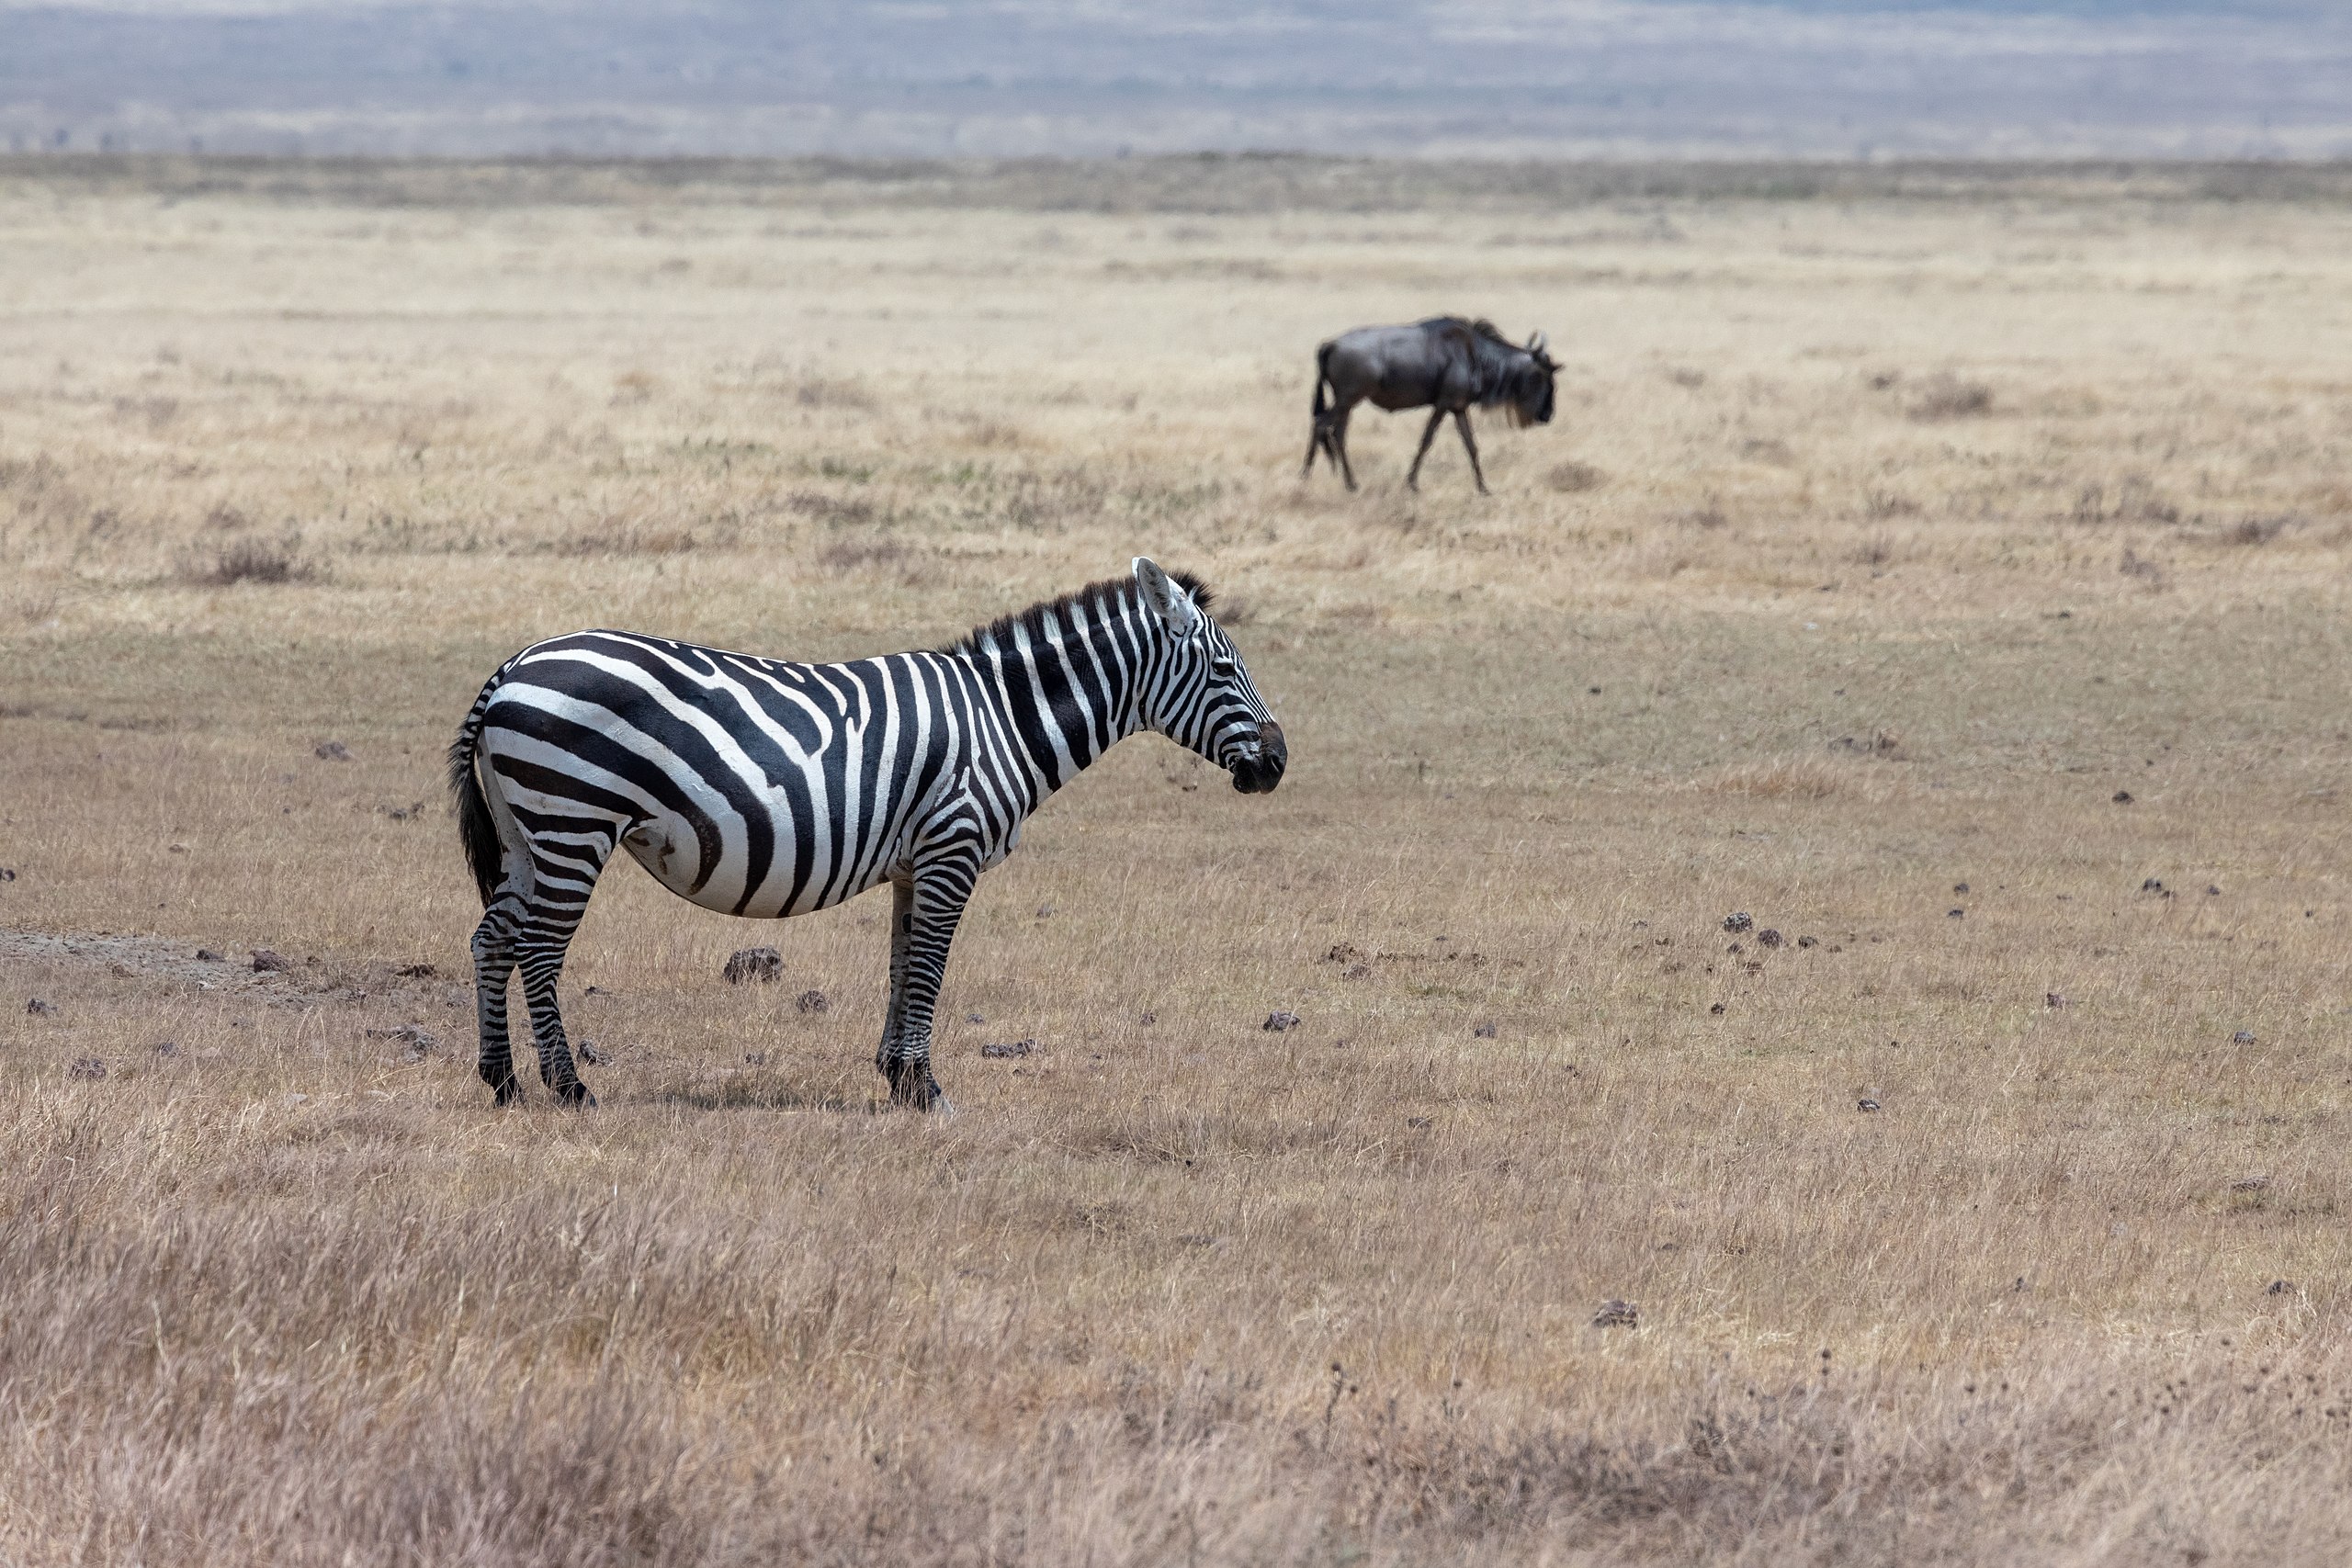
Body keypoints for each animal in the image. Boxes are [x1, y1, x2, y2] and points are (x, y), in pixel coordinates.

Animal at [442, 557, 1288, 1109]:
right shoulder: (952, 847)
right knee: (539, 948)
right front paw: (926, 1089)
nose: (1278, 762)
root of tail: (511, 666)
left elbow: (901, 963)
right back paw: (569, 1087)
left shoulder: (917, 862)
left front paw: (899, 1078)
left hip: (527, 833)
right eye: (1224, 669)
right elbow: (930, 969)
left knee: (492, 938)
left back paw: (502, 1080)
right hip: (573, 821)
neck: (1004, 718)